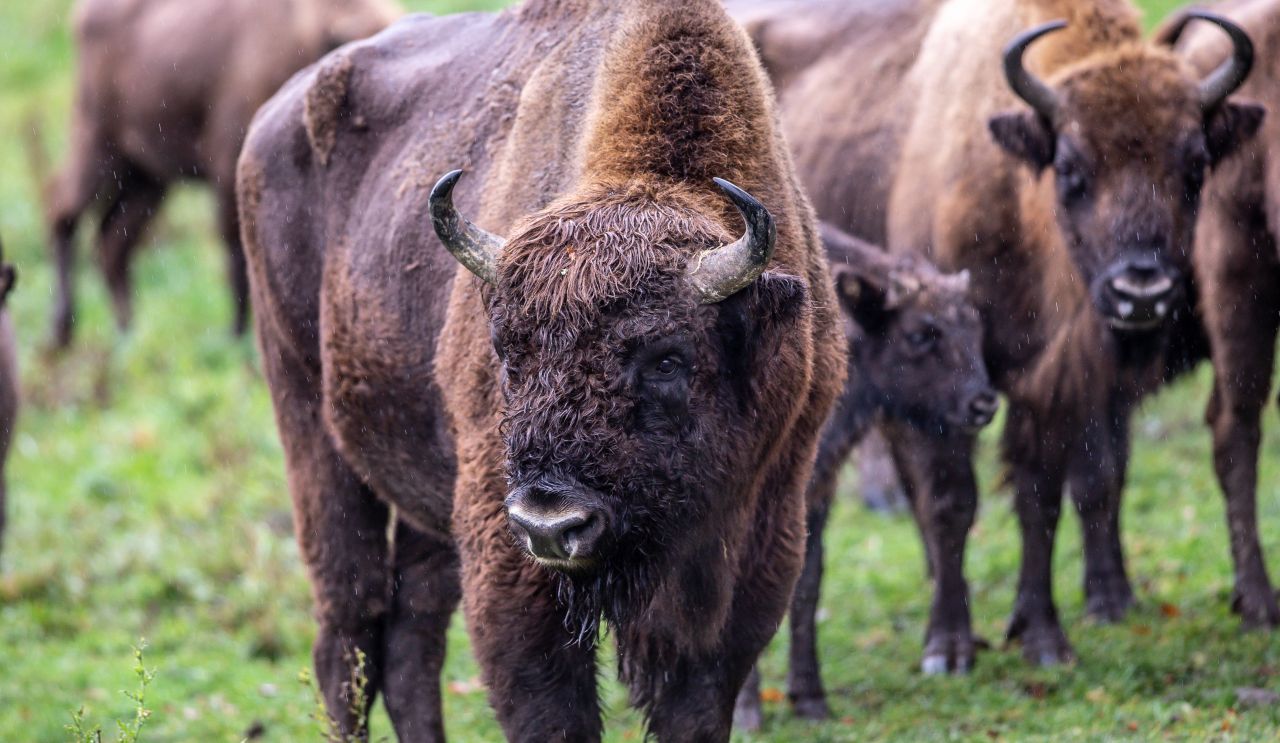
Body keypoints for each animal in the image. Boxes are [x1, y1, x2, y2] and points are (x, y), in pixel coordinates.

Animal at [43, 0, 399, 348]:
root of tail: (84, 14)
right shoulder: (228, 171)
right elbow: (236, 254)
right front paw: (236, 336)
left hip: (148, 180)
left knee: (113, 239)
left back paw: (127, 331)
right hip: (98, 146)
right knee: (64, 213)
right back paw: (63, 331)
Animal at [236, 1, 844, 737]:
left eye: (668, 358)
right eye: (506, 353)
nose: (552, 523)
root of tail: (270, 118)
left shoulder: (761, 541)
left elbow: (696, 703)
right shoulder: (507, 555)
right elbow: (547, 703)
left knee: (410, 639)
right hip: (308, 425)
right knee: (347, 632)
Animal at [732, 221, 998, 732]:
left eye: (975, 325)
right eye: (920, 333)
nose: (983, 404)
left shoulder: (815, 491)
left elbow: (807, 583)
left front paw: (810, 700)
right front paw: (746, 713)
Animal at [742, 0, 1259, 676]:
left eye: (1195, 166)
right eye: (1070, 168)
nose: (1141, 292)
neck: (1014, 199)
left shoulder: (1053, 383)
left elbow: (1048, 494)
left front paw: (1044, 633)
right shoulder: (943, 387)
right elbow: (952, 501)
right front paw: (949, 647)